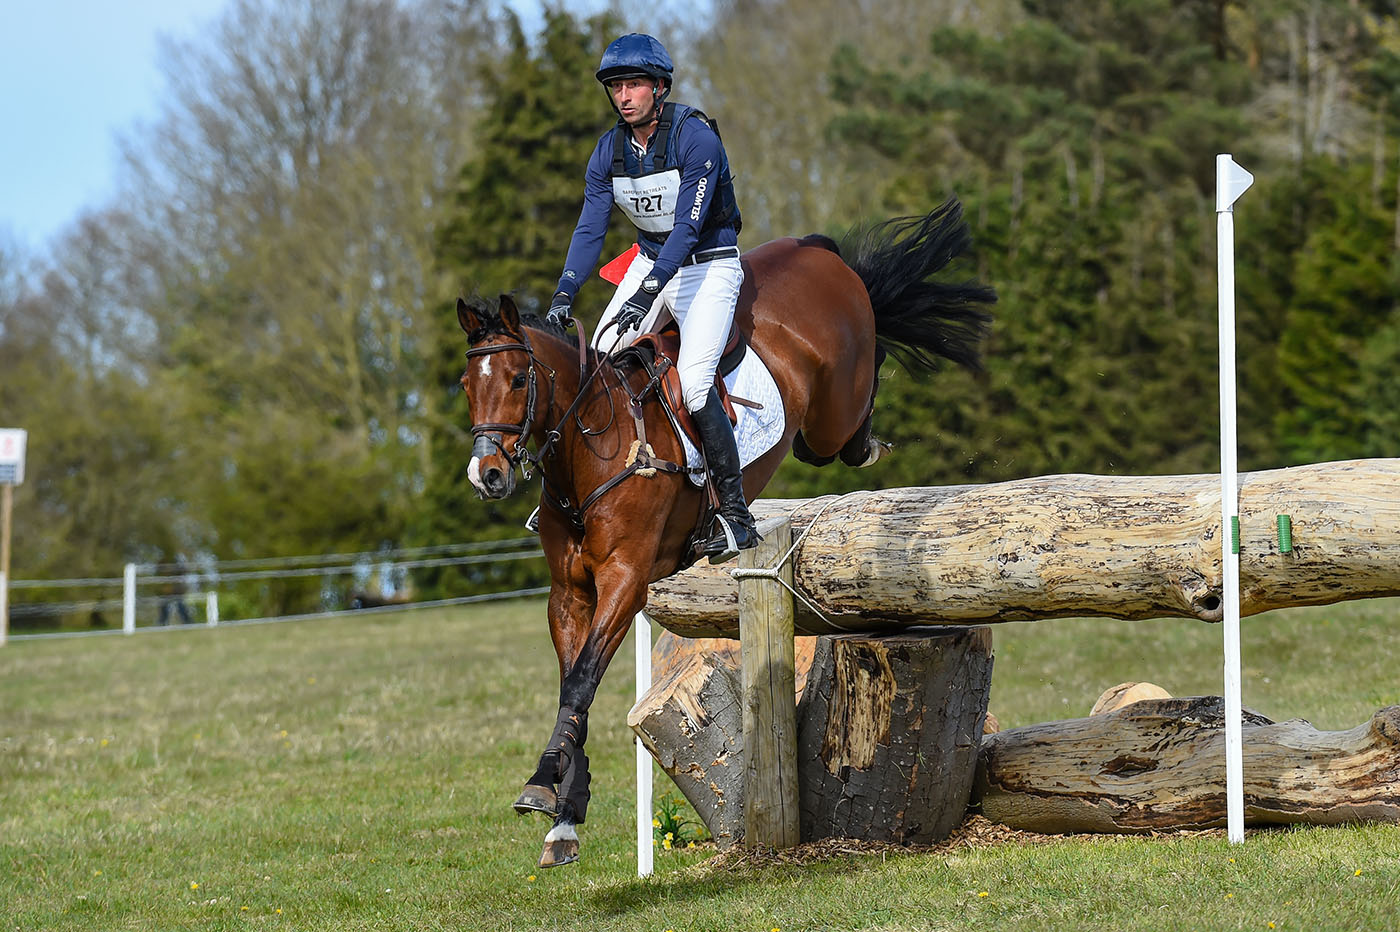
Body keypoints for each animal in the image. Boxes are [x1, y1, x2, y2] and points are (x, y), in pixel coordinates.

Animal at [455, 198, 995, 868]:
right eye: (466, 385)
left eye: (518, 381)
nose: (488, 475)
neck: (587, 452)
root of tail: (817, 251)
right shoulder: (570, 593)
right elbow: (573, 684)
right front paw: (563, 814)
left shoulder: (626, 581)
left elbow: (580, 679)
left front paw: (545, 789)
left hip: (832, 409)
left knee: (847, 420)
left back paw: (862, 445)